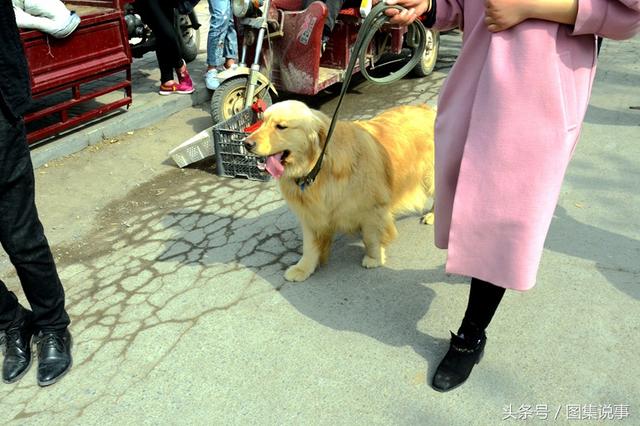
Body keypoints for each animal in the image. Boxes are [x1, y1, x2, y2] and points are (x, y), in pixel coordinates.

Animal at [244, 100, 436, 282]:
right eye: (261, 121)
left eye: (281, 127)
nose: (246, 143)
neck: (318, 167)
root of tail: (427, 108)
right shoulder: (311, 215)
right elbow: (309, 246)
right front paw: (303, 268)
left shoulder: (373, 209)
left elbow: (371, 237)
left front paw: (374, 258)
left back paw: (433, 215)